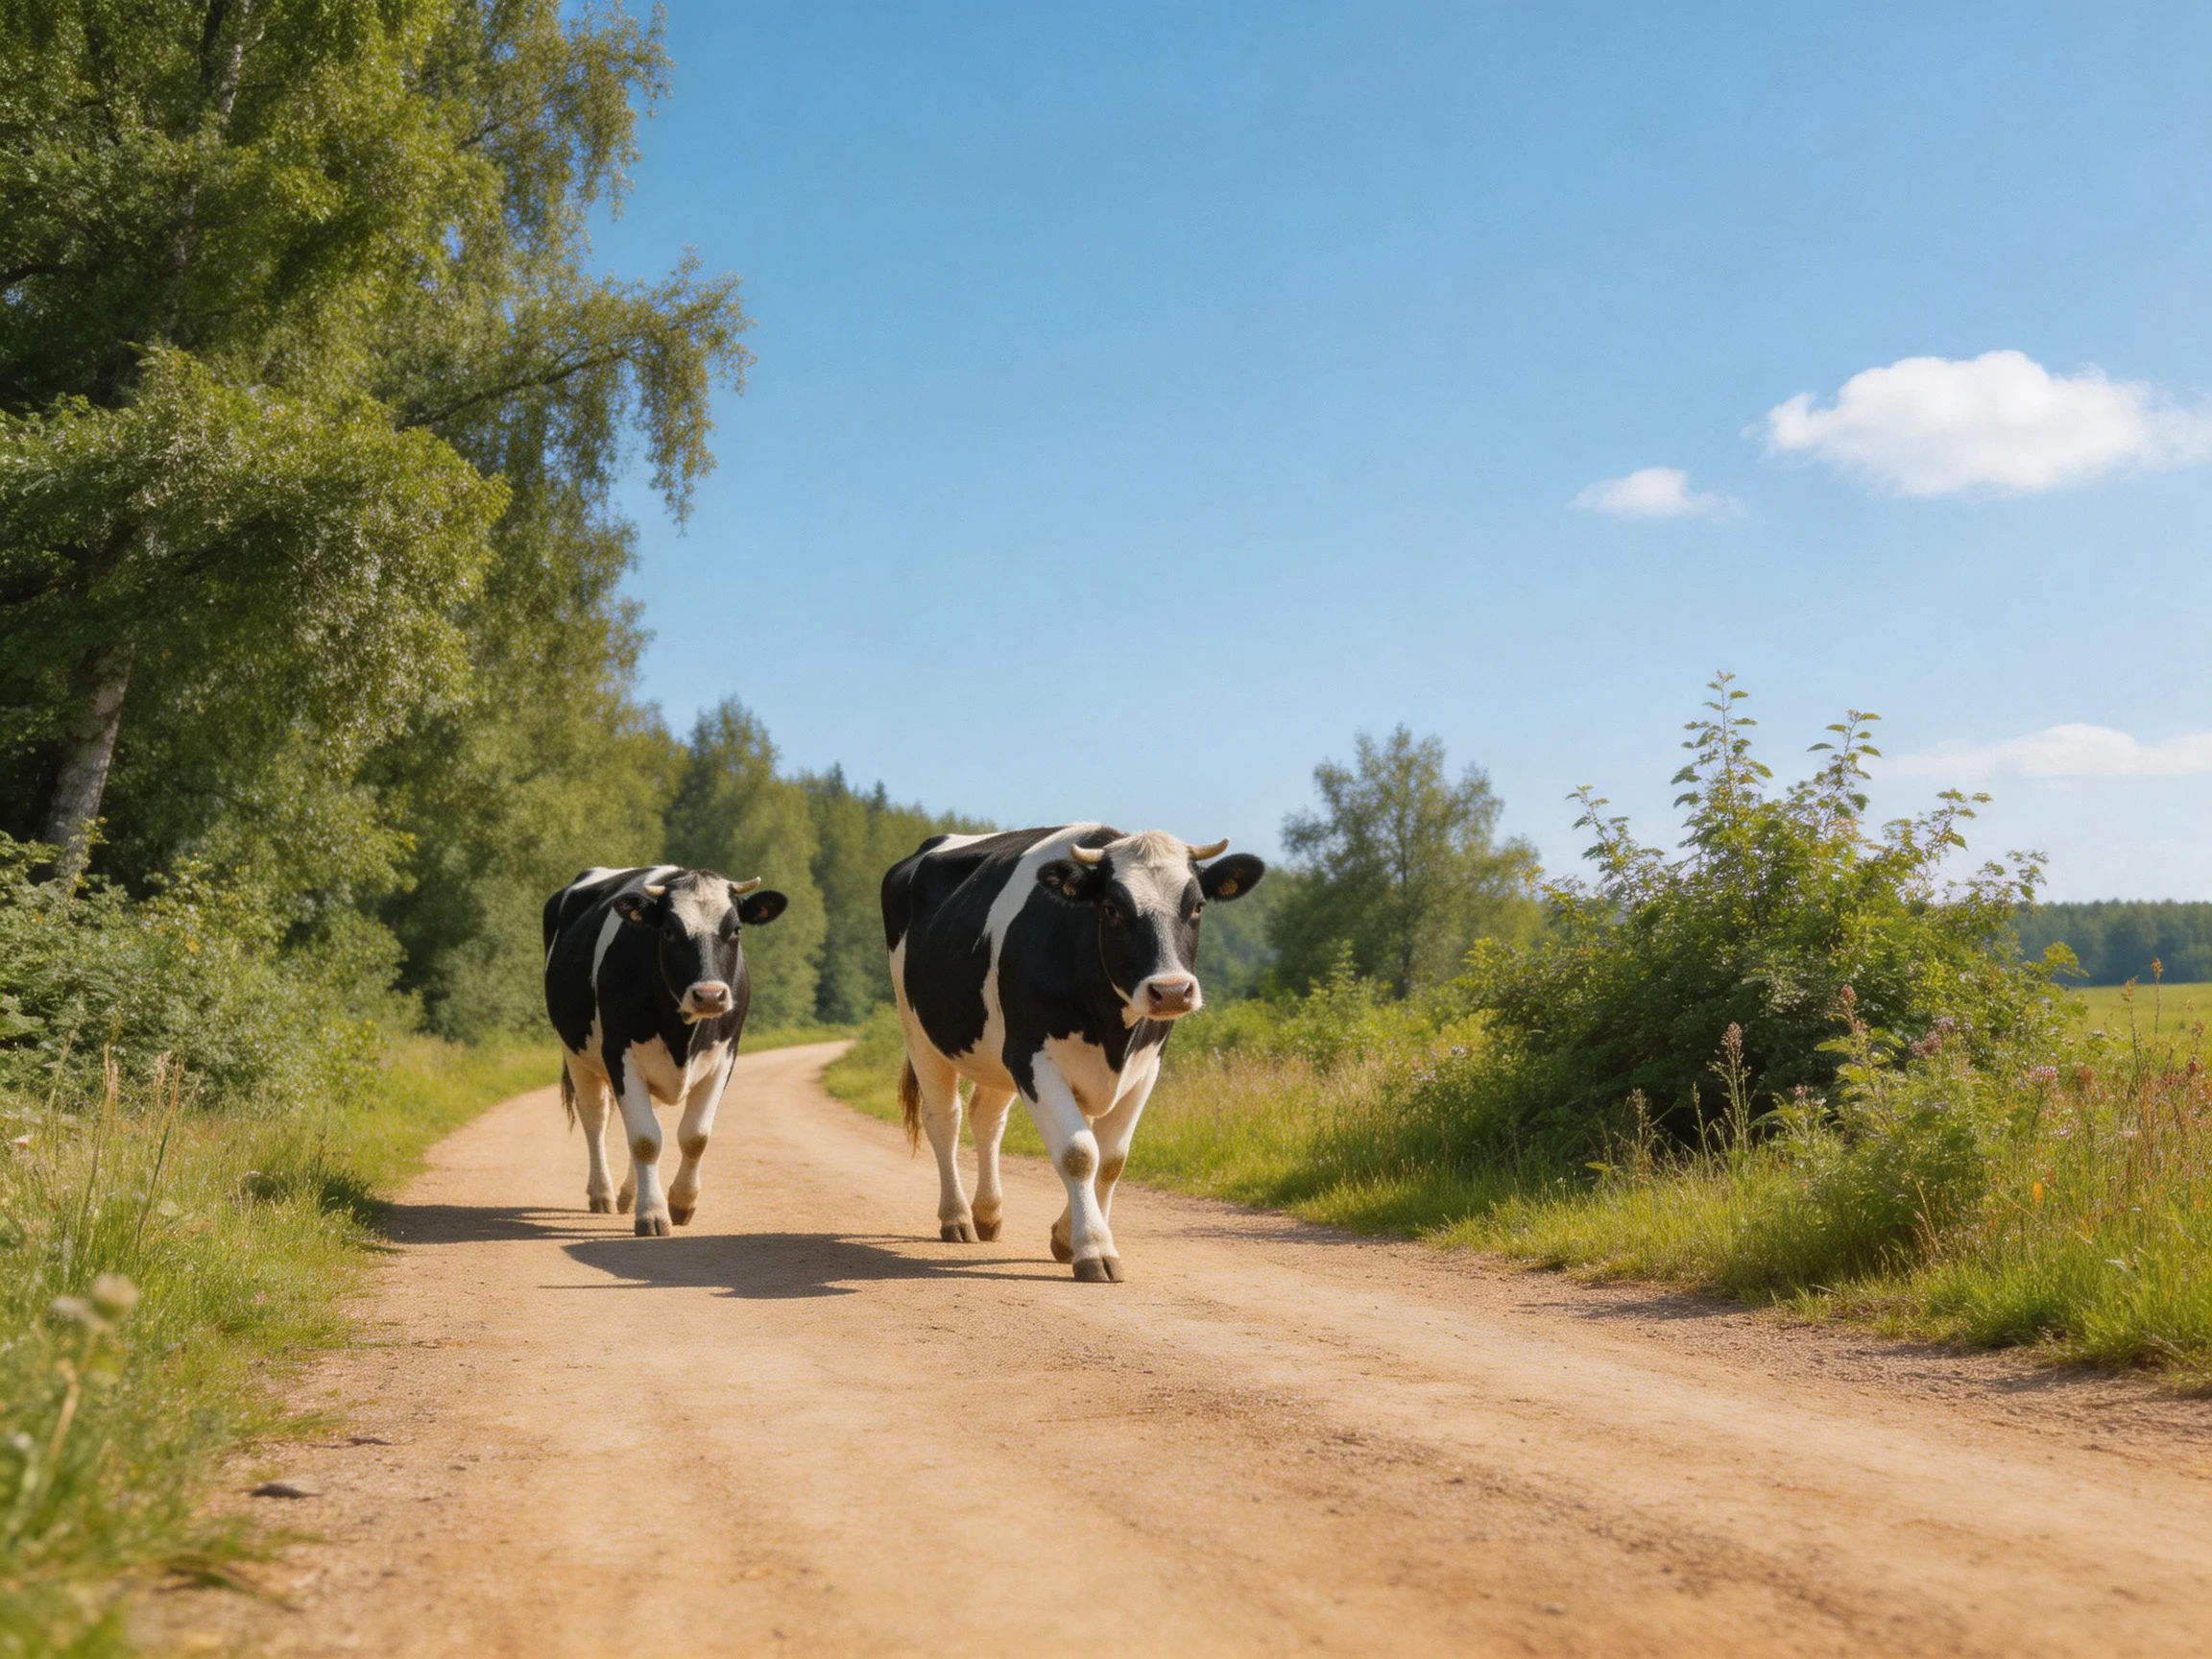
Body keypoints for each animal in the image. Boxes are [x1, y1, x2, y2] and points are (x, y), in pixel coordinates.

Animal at [543, 865, 788, 1235]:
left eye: (735, 929)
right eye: (670, 931)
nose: (710, 995)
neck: (682, 1037)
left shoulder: (726, 1056)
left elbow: (695, 1136)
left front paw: (681, 1203)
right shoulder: (619, 1053)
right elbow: (645, 1139)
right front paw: (653, 1213)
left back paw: (629, 1193)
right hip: (574, 1053)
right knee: (595, 1119)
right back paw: (603, 1193)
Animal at [882, 824, 1265, 1281]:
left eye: (1197, 906)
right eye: (1112, 908)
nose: (1171, 990)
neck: (1113, 1033)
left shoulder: (1146, 1066)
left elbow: (1111, 1159)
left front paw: (1067, 1237)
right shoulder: (1033, 1058)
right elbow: (1079, 1152)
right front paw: (1094, 1248)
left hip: (995, 1054)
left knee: (987, 1120)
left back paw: (987, 1214)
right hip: (918, 1030)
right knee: (945, 1119)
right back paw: (957, 1217)